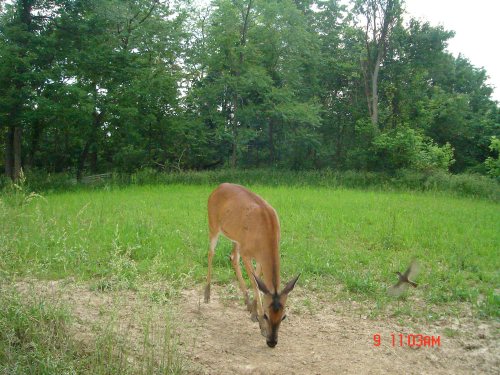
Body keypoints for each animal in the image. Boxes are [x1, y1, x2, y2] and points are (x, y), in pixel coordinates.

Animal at [204, 184, 298, 348]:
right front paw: (261, 324)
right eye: (266, 315)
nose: (272, 342)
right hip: (213, 225)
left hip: (236, 237)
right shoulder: (247, 253)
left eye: (284, 316)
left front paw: (253, 311)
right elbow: (255, 283)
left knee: (233, 257)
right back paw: (207, 294)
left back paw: (247, 303)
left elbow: (258, 280)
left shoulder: (258, 256)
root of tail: (217, 188)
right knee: (211, 253)